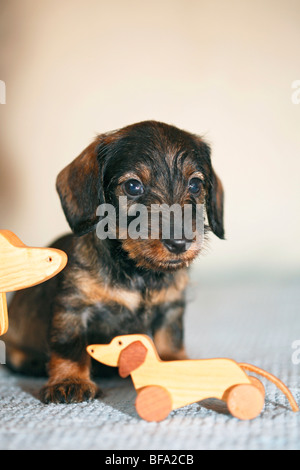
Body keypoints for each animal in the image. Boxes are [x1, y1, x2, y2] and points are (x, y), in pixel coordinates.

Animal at [3, 121, 224, 404]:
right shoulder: (72, 308)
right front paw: (69, 381)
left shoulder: (170, 309)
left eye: (195, 185)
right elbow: (69, 347)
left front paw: (177, 370)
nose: (179, 243)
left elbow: (171, 342)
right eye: (133, 186)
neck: (137, 272)